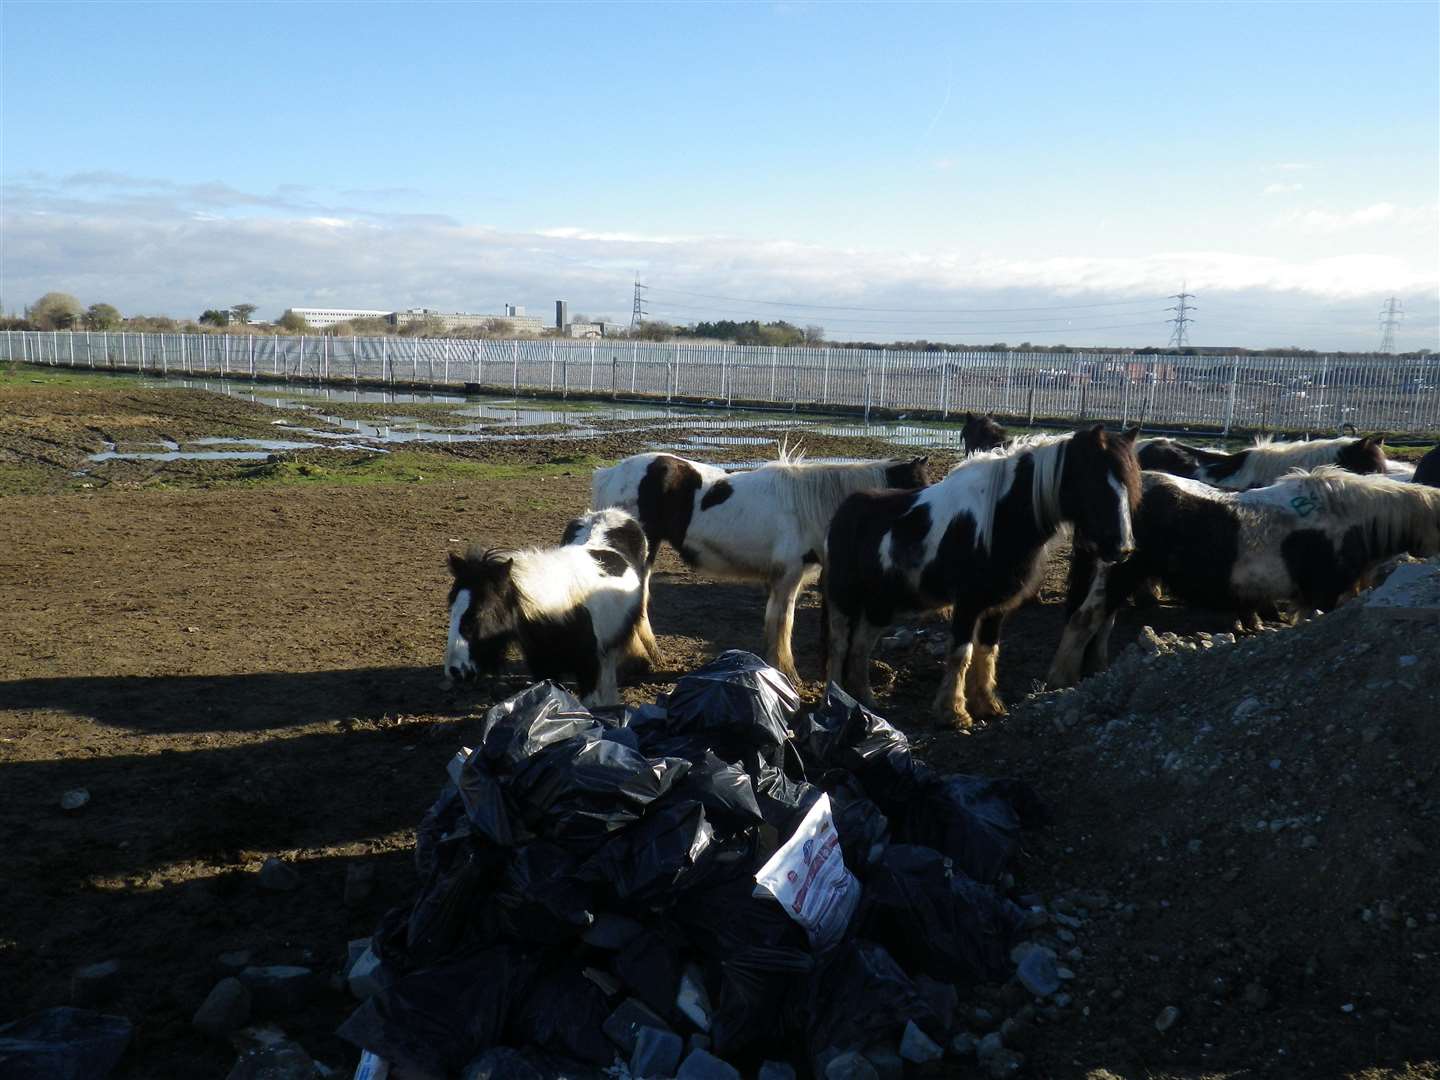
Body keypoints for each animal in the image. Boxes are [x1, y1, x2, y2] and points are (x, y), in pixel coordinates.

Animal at [443, 509, 648, 705]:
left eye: (481, 610)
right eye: (451, 605)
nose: (454, 670)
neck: (561, 611)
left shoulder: (588, 669)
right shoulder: (543, 668)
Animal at [590, 443, 927, 679]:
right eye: (917, 489)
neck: (808, 505)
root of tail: (610, 474)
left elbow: (776, 621)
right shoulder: (788, 575)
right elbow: (782, 622)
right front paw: (788, 673)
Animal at [829, 426, 1140, 731]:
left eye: (1130, 485)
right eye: (1094, 481)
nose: (1122, 548)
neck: (1001, 517)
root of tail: (847, 507)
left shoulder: (995, 607)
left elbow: (988, 651)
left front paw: (987, 705)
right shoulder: (967, 604)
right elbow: (961, 653)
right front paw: (953, 713)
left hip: (880, 603)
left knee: (861, 645)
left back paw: (864, 697)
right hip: (845, 598)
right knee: (841, 643)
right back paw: (836, 698)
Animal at [1048, 469, 1440, 688]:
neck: (1352, 522)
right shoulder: (1324, 598)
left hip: (1121, 577)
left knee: (1103, 623)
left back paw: (1096, 672)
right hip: (1117, 574)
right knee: (1084, 622)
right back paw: (1062, 681)